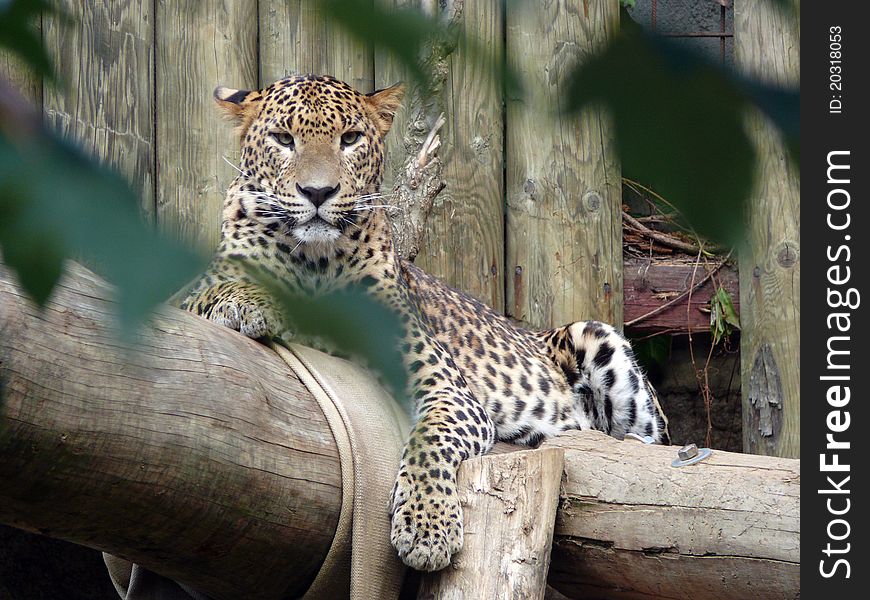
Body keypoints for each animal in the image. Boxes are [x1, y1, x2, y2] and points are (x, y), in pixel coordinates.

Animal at [179, 74, 676, 572]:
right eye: (284, 140)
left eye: (350, 139)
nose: (318, 193)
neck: (314, 261)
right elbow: (201, 294)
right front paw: (245, 300)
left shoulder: (448, 390)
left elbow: (429, 441)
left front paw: (427, 527)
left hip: (599, 341)